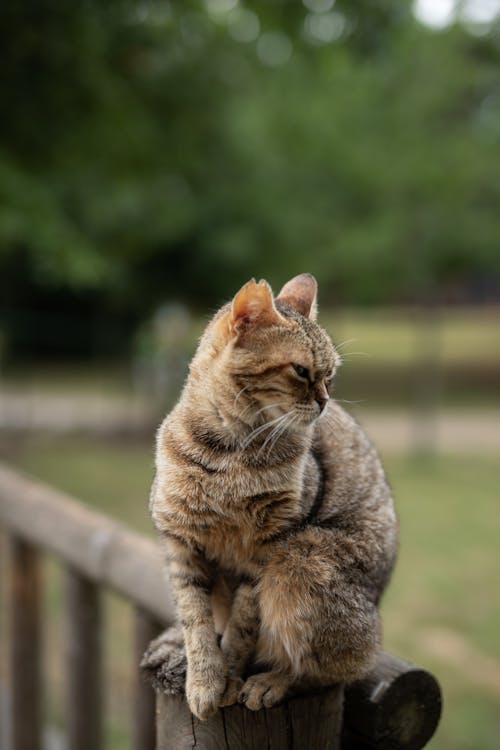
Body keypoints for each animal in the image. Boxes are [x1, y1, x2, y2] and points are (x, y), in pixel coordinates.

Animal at [148, 274, 398, 724]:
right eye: (301, 371)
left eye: (330, 375)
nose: (325, 401)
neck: (227, 449)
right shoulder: (180, 543)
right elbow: (195, 620)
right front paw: (204, 681)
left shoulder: (268, 548)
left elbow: (243, 626)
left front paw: (228, 678)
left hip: (300, 563)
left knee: (338, 666)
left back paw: (272, 681)